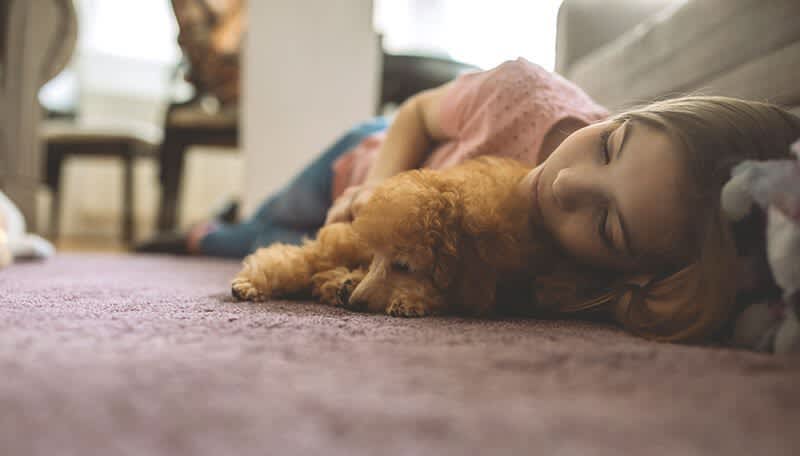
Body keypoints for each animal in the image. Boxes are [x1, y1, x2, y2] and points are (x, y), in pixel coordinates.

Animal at [231, 157, 556, 318]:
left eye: (403, 266)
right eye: (377, 257)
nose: (354, 302)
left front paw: (409, 300)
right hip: (343, 241)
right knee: (301, 260)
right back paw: (252, 283)